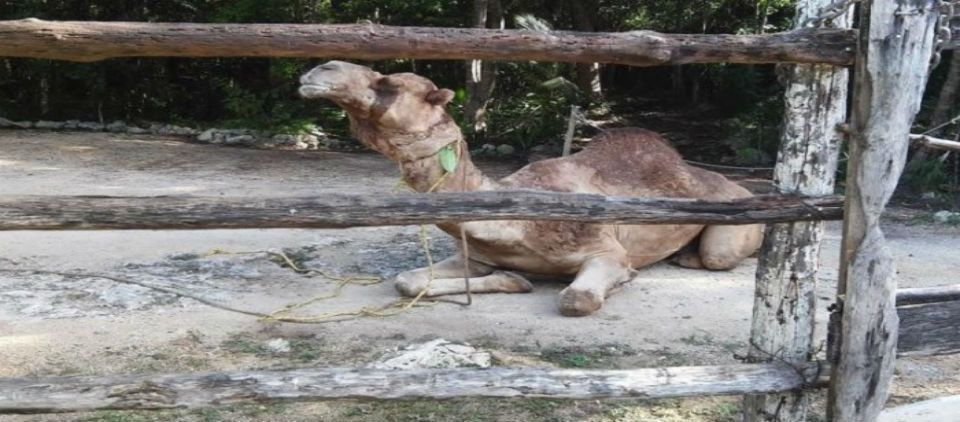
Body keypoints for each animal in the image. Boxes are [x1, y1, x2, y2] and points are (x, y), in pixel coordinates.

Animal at [299, 61, 763, 316]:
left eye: (390, 85)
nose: (319, 70)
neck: (517, 222)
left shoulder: (606, 250)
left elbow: (577, 300)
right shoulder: (476, 254)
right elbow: (407, 282)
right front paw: (514, 279)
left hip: (734, 215)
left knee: (719, 255)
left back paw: (690, 257)